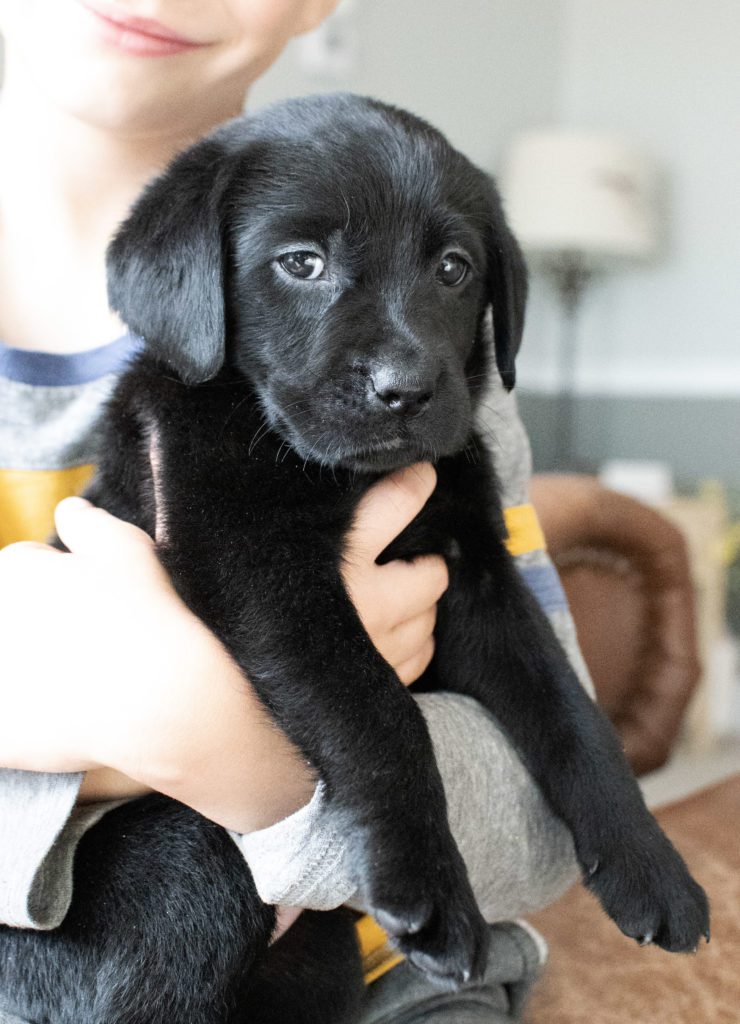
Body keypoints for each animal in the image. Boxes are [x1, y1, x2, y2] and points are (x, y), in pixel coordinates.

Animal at [0, 94, 708, 1024]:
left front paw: (652, 867)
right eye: (302, 263)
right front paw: (433, 892)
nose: (405, 389)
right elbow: (376, 707)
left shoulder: (476, 572)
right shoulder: (250, 560)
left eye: (453, 268)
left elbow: (572, 712)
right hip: (191, 856)